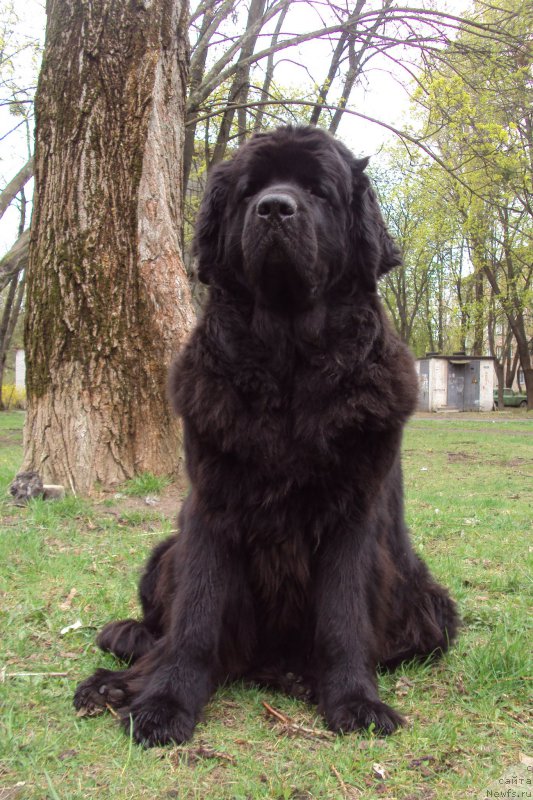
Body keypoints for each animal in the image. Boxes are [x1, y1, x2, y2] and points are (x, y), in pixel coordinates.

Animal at [75, 123, 458, 744]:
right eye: (250, 190)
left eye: (319, 190)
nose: (275, 208)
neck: (289, 365)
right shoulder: (213, 507)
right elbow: (195, 620)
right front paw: (163, 703)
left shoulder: (353, 516)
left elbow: (343, 617)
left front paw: (354, 700)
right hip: (163, 554)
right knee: (160, 628)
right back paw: (119, 677)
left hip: (431, 602)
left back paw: (296, 675)